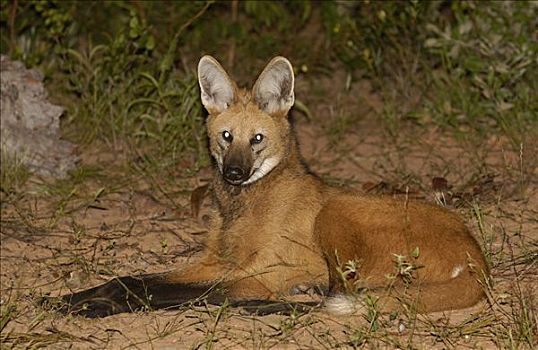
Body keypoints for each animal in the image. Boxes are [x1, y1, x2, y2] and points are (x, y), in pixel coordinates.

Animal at [50, 55, 486, 318]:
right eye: (226, 137)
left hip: (337, 214)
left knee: (337, 299)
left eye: (256, 139)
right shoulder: (216, 262)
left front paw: (97, 308)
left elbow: (166, 293)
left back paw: (273, 305)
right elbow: (132, 279)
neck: (244, 205)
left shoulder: (257, 273)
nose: (233, 174)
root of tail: (477, 258)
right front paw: (71, 299)